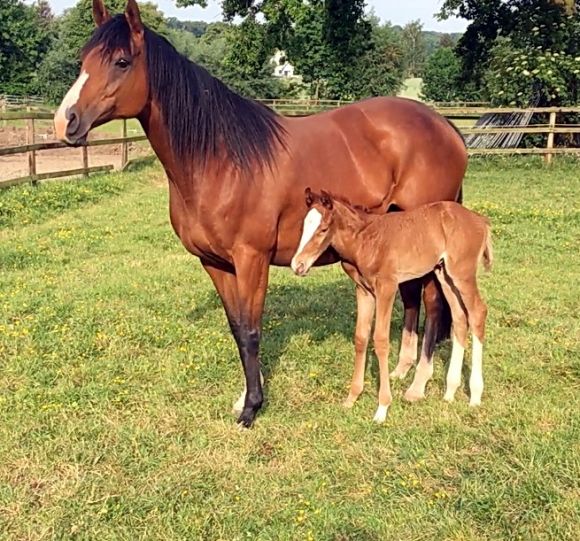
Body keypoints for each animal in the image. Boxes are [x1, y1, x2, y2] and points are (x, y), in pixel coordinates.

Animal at [292, 190, 492, 422]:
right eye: (303, 227)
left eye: (323, 229)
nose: (298, 265)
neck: (366, 241)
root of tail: (481, 220)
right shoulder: (364, 291)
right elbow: (361, 338)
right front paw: (352, 398)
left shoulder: (386, 288)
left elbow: (380, 340)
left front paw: (382, 408)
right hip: (445, 274)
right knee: (460, 318)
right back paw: (450, 392)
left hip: (463, 274)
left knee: (477, 312)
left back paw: (475, 396)